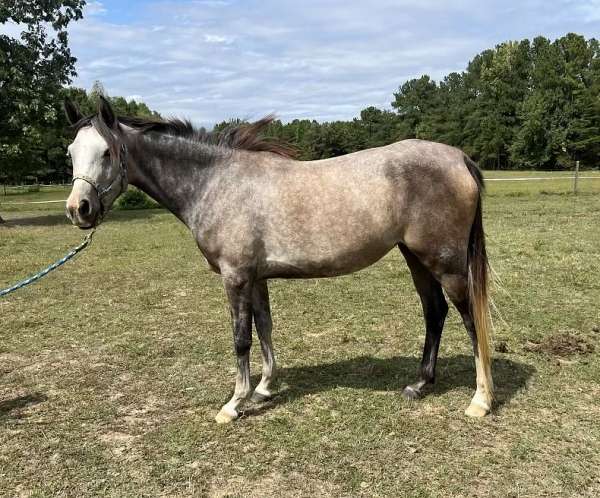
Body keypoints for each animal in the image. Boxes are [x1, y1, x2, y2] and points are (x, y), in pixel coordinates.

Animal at [63, 95, 494, 422]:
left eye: (107, 152)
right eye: (70, 152)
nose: (78, 209)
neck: (216, 182)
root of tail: (458, 158)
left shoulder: (236, 277)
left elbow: (241, 339)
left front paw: (234, 404)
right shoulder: (257, 278)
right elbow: (265, 328)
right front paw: (264, 389)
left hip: (445, 264)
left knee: (470, 318)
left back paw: (481, 400)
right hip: (416, 258)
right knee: (434, 312)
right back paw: (419, 384)